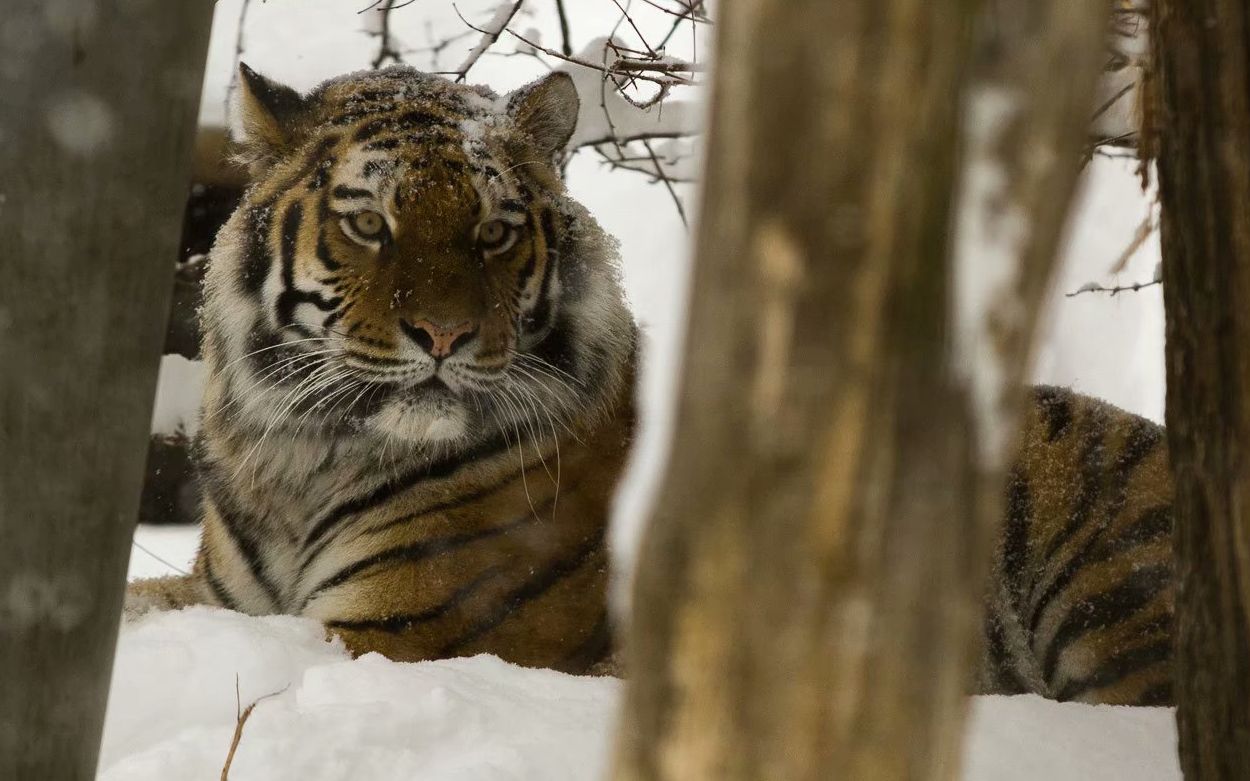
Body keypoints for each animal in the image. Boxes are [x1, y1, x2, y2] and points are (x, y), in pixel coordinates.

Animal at [125, 60, 635, 674]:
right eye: (369, 224)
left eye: (494, 232)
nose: (444, 334)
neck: (302, 466)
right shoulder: (215, 596)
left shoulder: (393, 632)